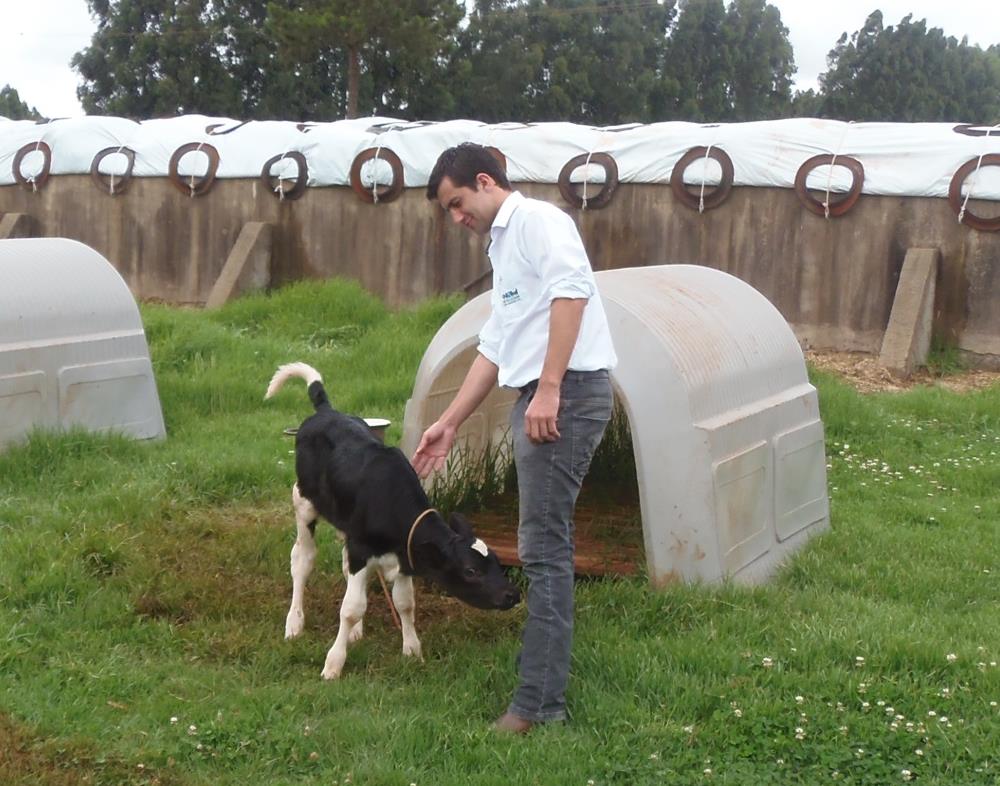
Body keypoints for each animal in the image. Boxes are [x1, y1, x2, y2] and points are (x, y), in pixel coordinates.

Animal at [266, 364, 520, 676]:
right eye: (471, 570)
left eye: (496, 560)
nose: (512, 595)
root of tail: (327, 411)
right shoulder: (362, 549)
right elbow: (351, 608)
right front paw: (333, 664)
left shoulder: (404, 556)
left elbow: (404, 603)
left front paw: (412, 650)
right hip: (303, 502)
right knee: (302, 560)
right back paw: (295, 623)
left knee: (344, 567)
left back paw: (355, 632)